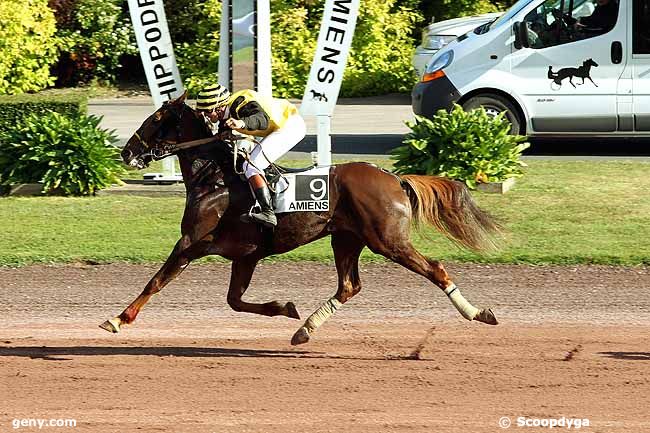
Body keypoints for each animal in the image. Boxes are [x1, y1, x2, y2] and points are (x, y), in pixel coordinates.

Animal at [100, 93, 496, 344]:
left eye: (154, 120)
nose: (126, 151)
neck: (214, 178)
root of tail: (392, 176)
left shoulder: (191, 244)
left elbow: (156, 281)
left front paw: (118, 319)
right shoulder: (245, 256)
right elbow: (234, 300)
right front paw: (286, 308)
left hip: (388, 241)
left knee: (435, 270)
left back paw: (478, 314)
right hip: (346, 238)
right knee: (349, 286)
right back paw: (305, 328)